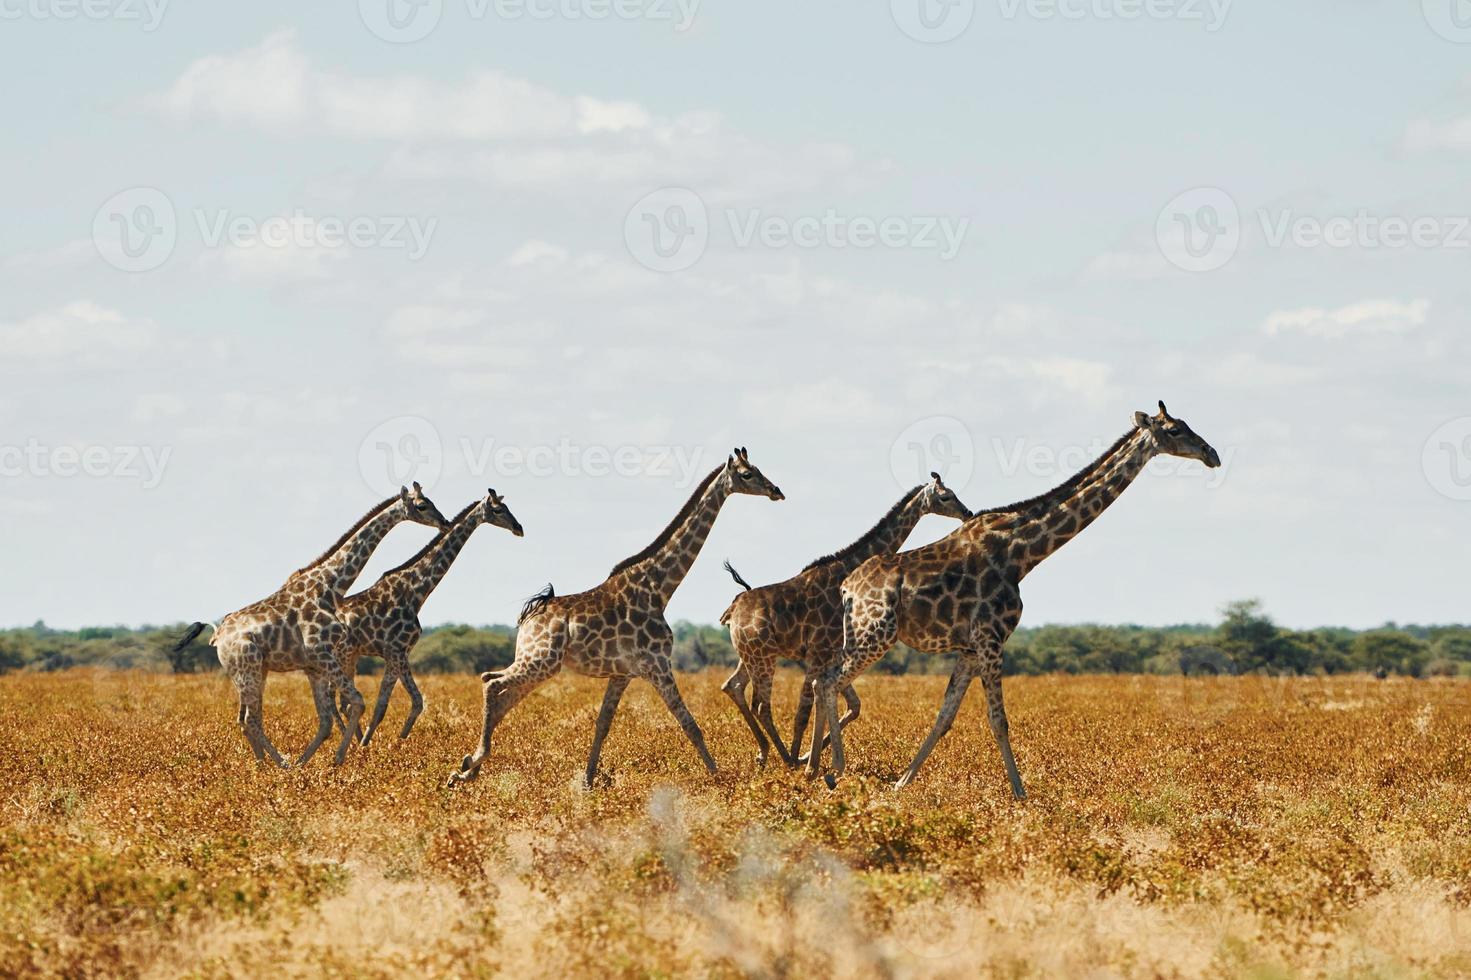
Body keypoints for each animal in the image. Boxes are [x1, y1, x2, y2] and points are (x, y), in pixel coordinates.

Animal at [175, 485, 447, 765]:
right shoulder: (322, 654)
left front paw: (313, 762)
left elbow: (327, 720)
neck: (330, 587)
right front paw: (337, 759)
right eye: (422, 505)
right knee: (250, 719)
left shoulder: (314, 665)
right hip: (247, 670)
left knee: (247, 719)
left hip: (255, 671)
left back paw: (265, 765)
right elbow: (357, 702)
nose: (445, 522)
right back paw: (280, 765)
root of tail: (217, 636)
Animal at [332, 485, 523, 744]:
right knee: (338, 702)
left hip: (348, 657)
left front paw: (388, 743)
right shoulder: (395, 651)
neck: (415, 593)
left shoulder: (400, 653)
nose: (519, 527)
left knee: (341, 702)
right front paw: (372, 746)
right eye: (497, 509)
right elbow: (392, 704)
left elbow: (408, 703)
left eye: (507, 507)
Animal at [447, 444, 788, 788]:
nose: (777, 491)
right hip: (540, 661)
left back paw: (466, 769)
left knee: (499, 691)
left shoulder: (622, 674)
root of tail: (528, 620)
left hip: (538, 663)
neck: (659, 588)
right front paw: (720, 778)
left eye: (758, 469)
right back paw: (472, 761)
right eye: (747, 474)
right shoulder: (658, 664)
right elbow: (689, 723)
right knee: (491, 683)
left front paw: (588, 782)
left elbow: (603, 724)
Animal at [714, 470, 970, 765]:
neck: (845, 569)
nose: (967, 512)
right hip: (762, 656)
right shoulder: (818, 652)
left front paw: (808, 755)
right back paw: (785, 758)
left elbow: (851, 705)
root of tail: (732, 611)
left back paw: (764, 752)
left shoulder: (830, 652)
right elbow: (804, 710)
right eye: (946, 496)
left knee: (733, 686)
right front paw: (801, 758)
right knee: (760, 705)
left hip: (751, 655)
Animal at [806, 403, 1217, 794]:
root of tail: (847, 588)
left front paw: (902, 783)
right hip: (875, 634)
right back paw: (833, 770)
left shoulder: (970, 649)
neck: (1022, 554)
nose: (1211, 453)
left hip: (860, 634)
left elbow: (945, 717)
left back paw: (818, 767)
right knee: (828, 681)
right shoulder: (991, 638)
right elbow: (998, 720)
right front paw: (1020, 794)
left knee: (824, 680)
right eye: (1174, 429)